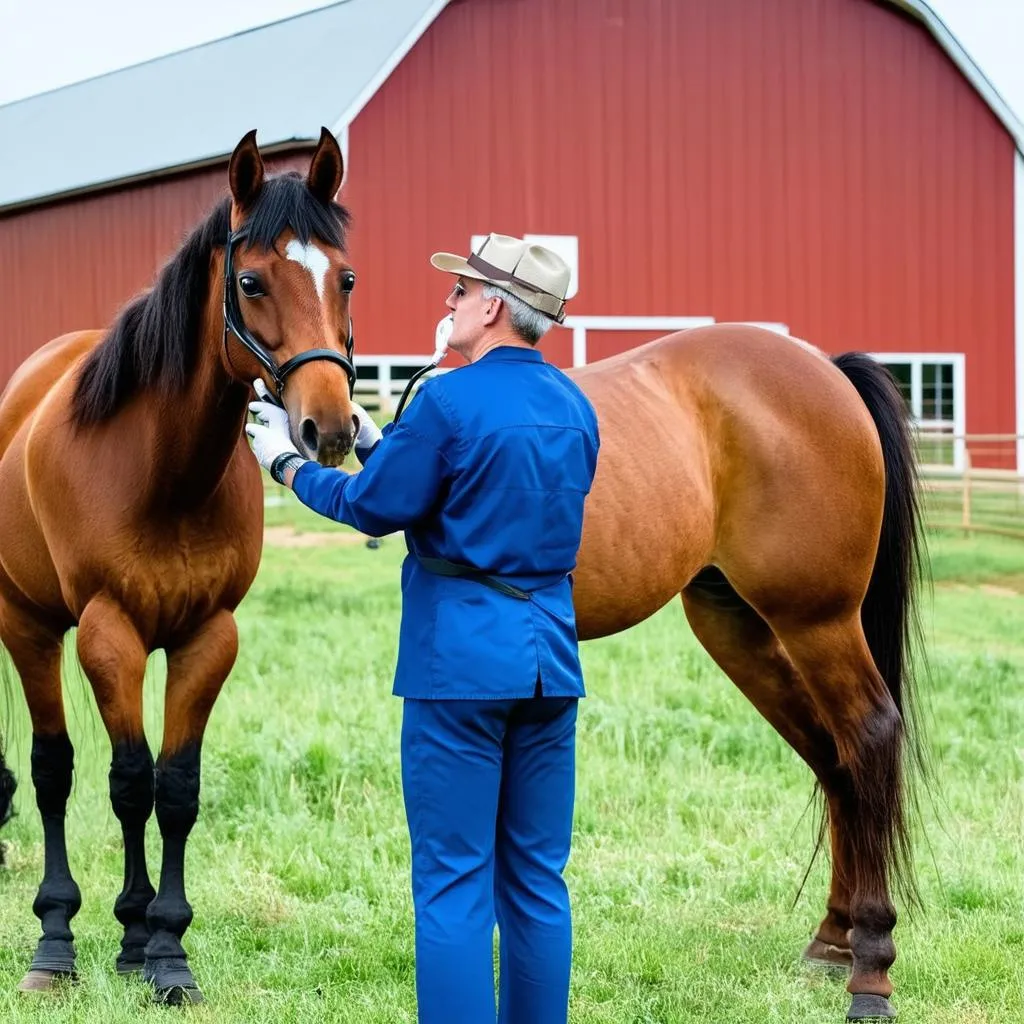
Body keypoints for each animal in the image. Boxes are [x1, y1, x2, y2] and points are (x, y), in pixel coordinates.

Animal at [0, 125, 364, 999]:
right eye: (251, 280)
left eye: (345, 278)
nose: (330, 429)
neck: (162, 471)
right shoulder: (109, 634)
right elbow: (128, 780)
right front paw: (131, 938)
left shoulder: (207, 637)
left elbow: (175, 788)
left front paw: (162, 948)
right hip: (29, 627)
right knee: (55, 770)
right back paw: (55, 939)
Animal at [569, 329, 929, 1024]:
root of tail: (826, 370)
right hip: (735, 623)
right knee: (835, 759)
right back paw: (834, 937)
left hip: (817, 619)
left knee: (870, 736)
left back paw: (871, 968)